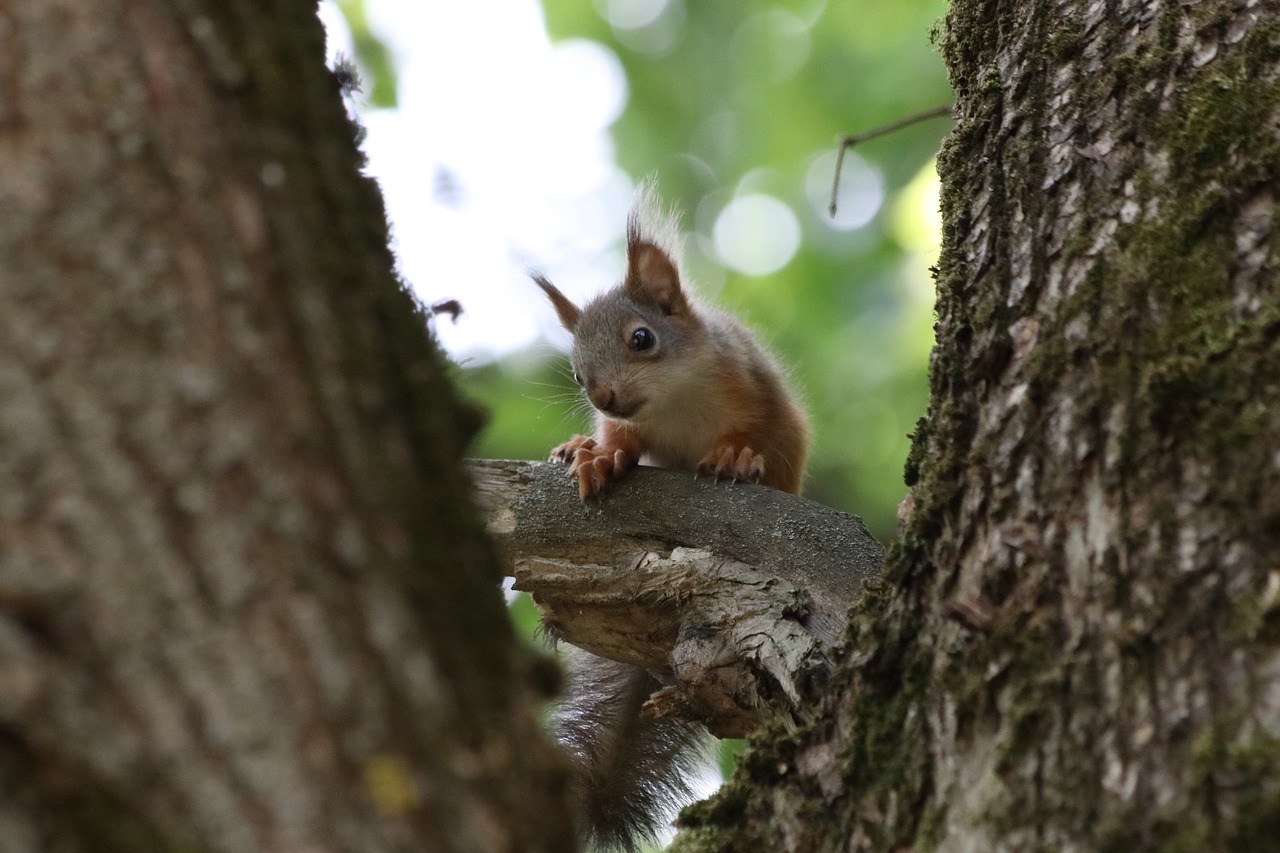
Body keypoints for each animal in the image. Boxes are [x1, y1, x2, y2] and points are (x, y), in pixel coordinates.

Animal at [529, 183, 808, 845]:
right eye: (576, 371)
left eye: (642, 338)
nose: (602, 395)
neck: (674, 404)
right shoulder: (629, 424)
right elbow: (621, 442)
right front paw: (600, 457)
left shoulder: (754, 387)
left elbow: (763, 434)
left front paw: (736, 456)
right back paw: (576, 448)